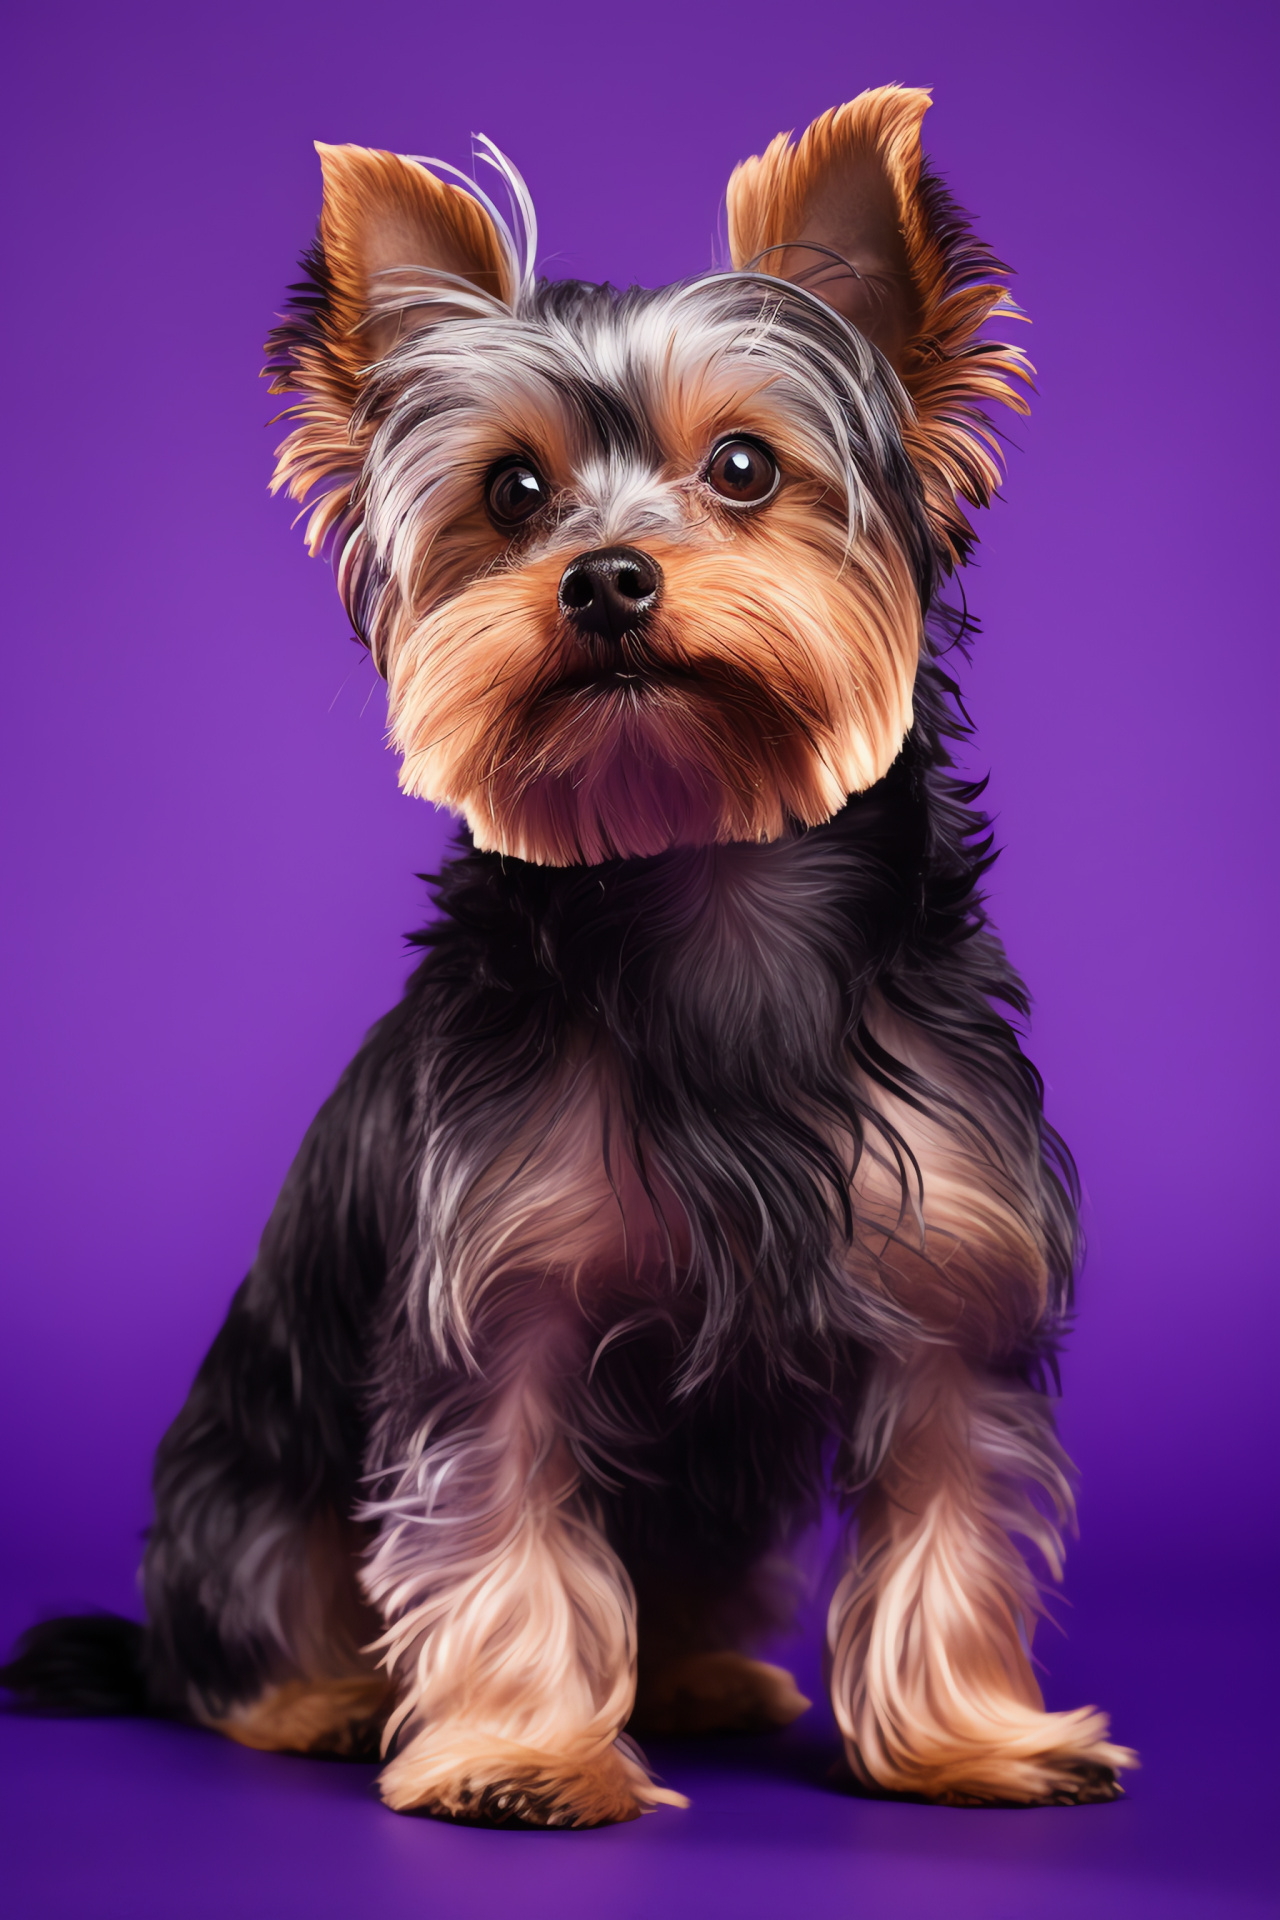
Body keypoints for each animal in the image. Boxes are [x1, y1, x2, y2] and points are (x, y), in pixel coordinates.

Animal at [5, 90, 1136, 1827]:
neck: (706, 883)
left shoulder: (953, 1283)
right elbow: (496, 1524)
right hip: (240, 1482)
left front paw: (971, 1739)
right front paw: (519, 1755)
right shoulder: (498, 1303)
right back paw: (323, 1700)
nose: (607, 575)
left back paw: (706, 1676)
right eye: (514, 494)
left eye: (744, 466)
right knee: (239, 1630)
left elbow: (950, 1509)